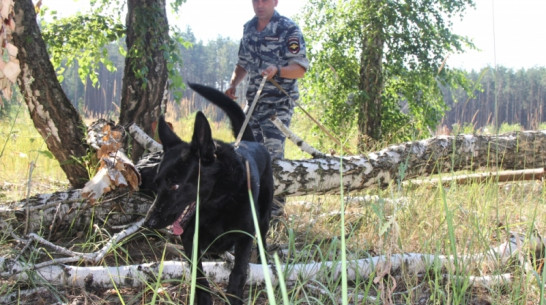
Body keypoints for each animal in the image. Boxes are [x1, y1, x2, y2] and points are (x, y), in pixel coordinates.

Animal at [143, 82, 272, 302]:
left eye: (175, 185)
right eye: (157, 184)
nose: (148, 223)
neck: (217, 204)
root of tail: (252, 142)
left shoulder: (244, 236)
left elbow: (238, 272)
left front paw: (234, 297)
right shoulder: (189, 238)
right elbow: (199, 275)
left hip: (263, 216)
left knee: (262, 238)